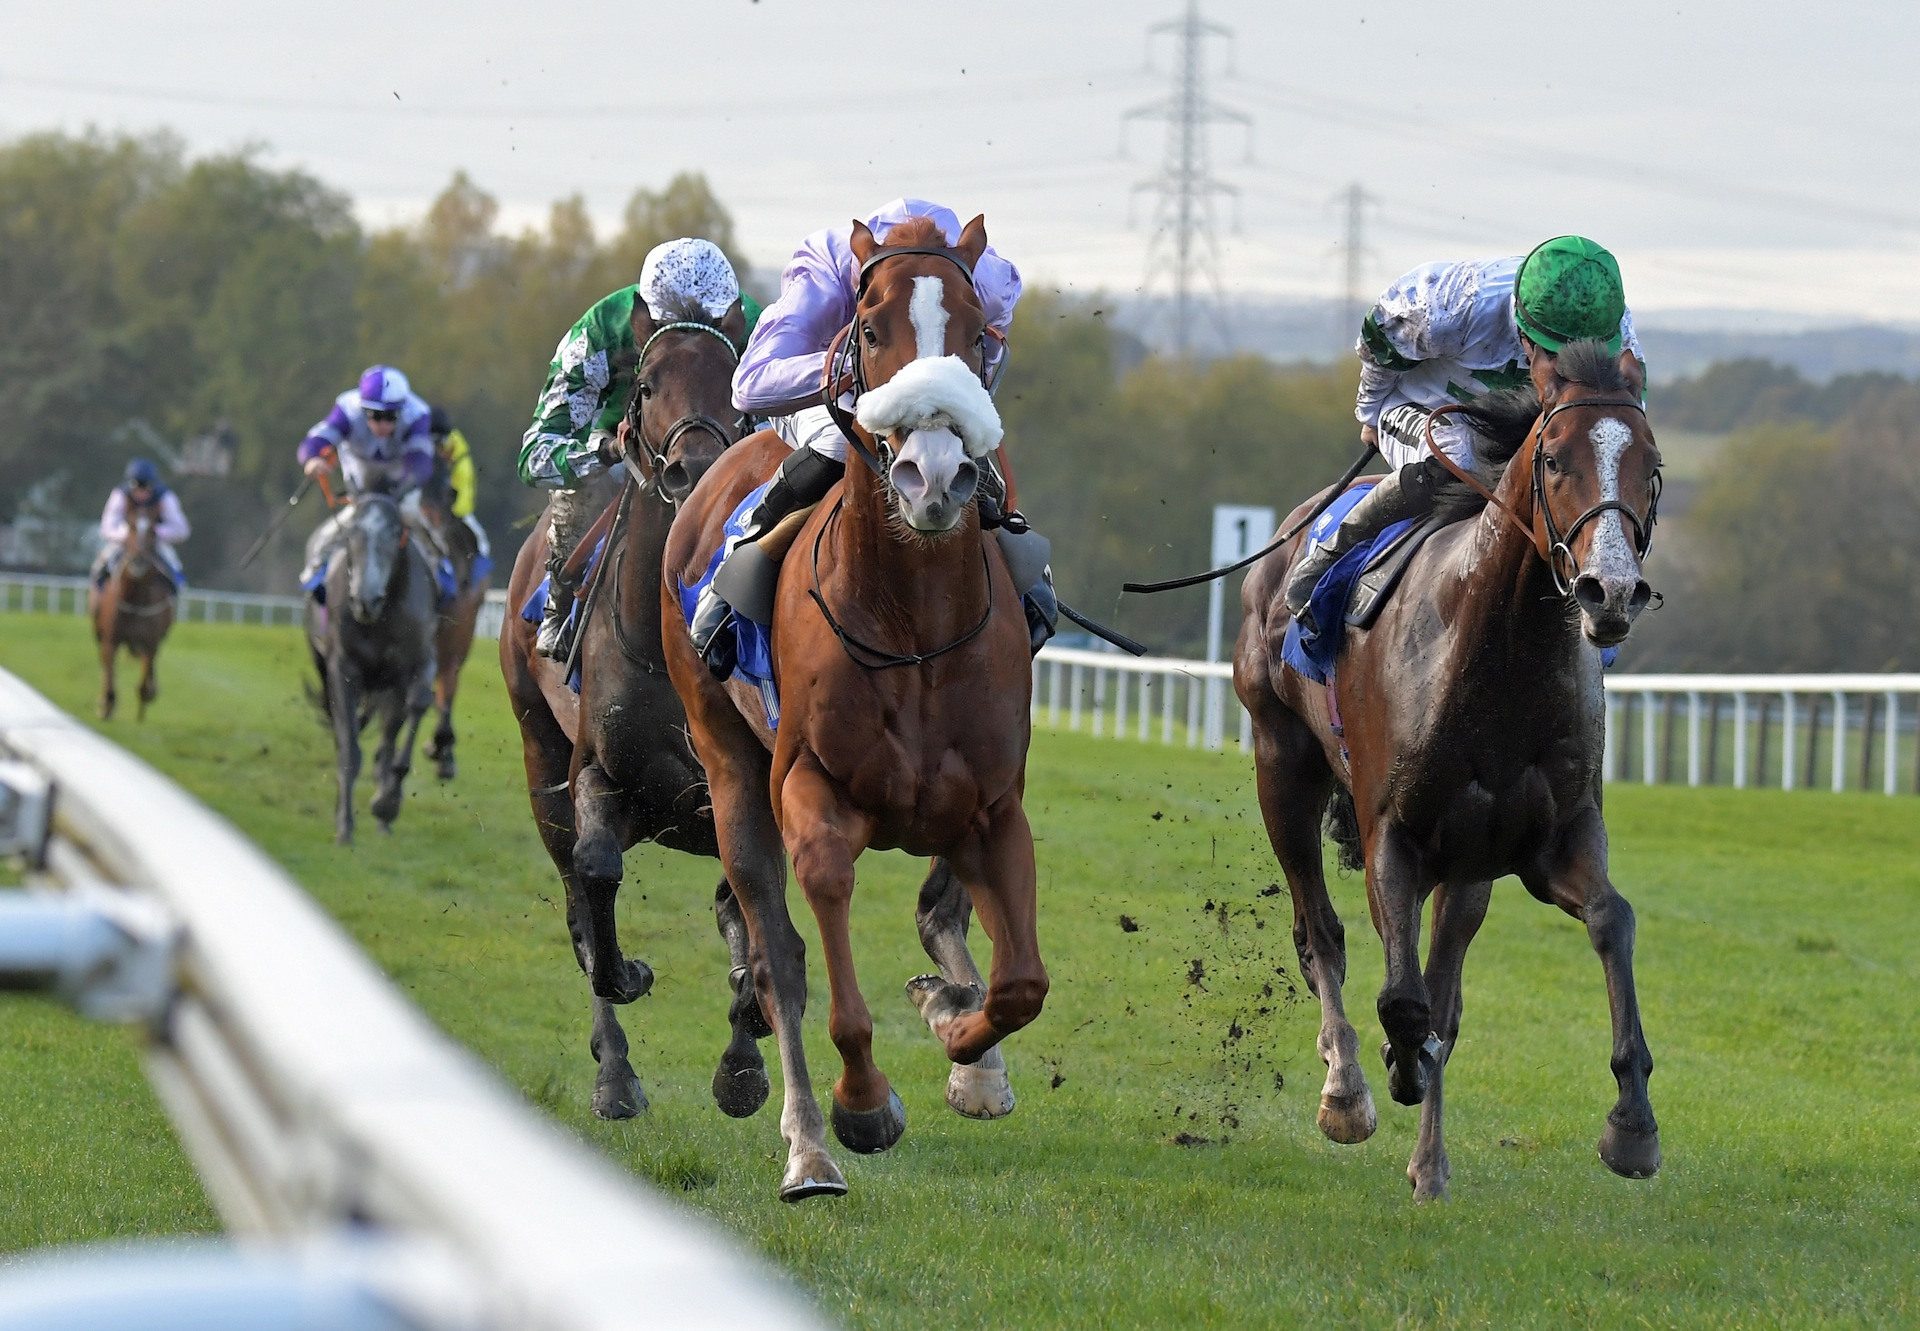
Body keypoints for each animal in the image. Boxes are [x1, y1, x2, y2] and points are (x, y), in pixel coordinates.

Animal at [90, 507, 175, 722]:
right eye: (130, 526)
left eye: (153, 530)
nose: (139, 559)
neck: (136, 600)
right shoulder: (111, 638)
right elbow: (109, 673)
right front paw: (106, 705)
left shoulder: (150, 642)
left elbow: (145, 679)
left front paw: (145, 702)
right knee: (104, 663)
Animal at [305, 487, 437, 841]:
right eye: (350, 532)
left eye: (394, 533)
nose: (365, 600)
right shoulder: (342, 668)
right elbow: (349, 749)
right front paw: (344, 826)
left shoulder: (412, 665)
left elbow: (410, 714)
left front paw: (386, 804)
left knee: (391, 733)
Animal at [664, 215, 1052, 1190]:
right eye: (870, 329)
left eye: (979, 335)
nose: (934, 476)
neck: (914, 621)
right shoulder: (811, 790)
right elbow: (825, 951)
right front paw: (864, 1102)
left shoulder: (992, 806)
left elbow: (1019, 982)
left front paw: (959, 1034)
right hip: (729, 767)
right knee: (777, 952)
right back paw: (807, 1143)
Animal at [1236, 338, 1658, 1198]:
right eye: (1556, 459)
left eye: (1651, 464)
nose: (1611, 590)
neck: (1496, 657)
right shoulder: (1393, 836)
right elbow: (1402, 996)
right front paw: (1390, 1069)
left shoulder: (1545, 841)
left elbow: (1611, 919)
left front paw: (1632, 1121)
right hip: (1281, 766)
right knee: (1319, 929)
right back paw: (1346, 1086)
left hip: (1469, 867)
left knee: (1442, 985)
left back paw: (1429, 1163)